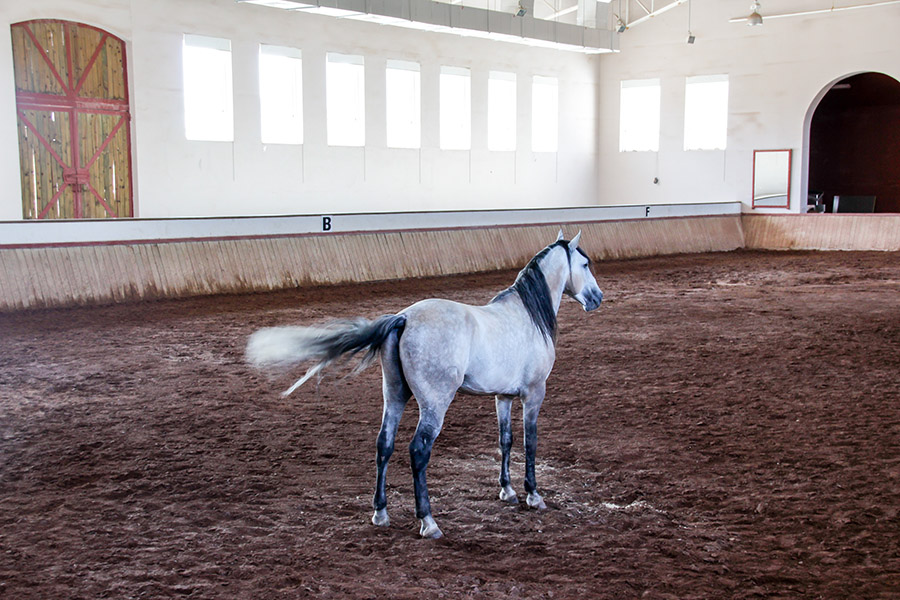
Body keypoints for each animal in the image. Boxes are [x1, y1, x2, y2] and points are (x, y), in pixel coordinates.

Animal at [246, 231, 603, 539]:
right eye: (585, 264)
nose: (597, 297)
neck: (527, 316)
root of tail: (403, 318)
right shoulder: (534, 393)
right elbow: (530, 443)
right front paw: (533, 495)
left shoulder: (502, 397)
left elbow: (506, 441)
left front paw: (507, 490)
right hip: (434, 404)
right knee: (418, 451)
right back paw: (428, 521)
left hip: (394, 395)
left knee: (384, 445)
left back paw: (381, 513)